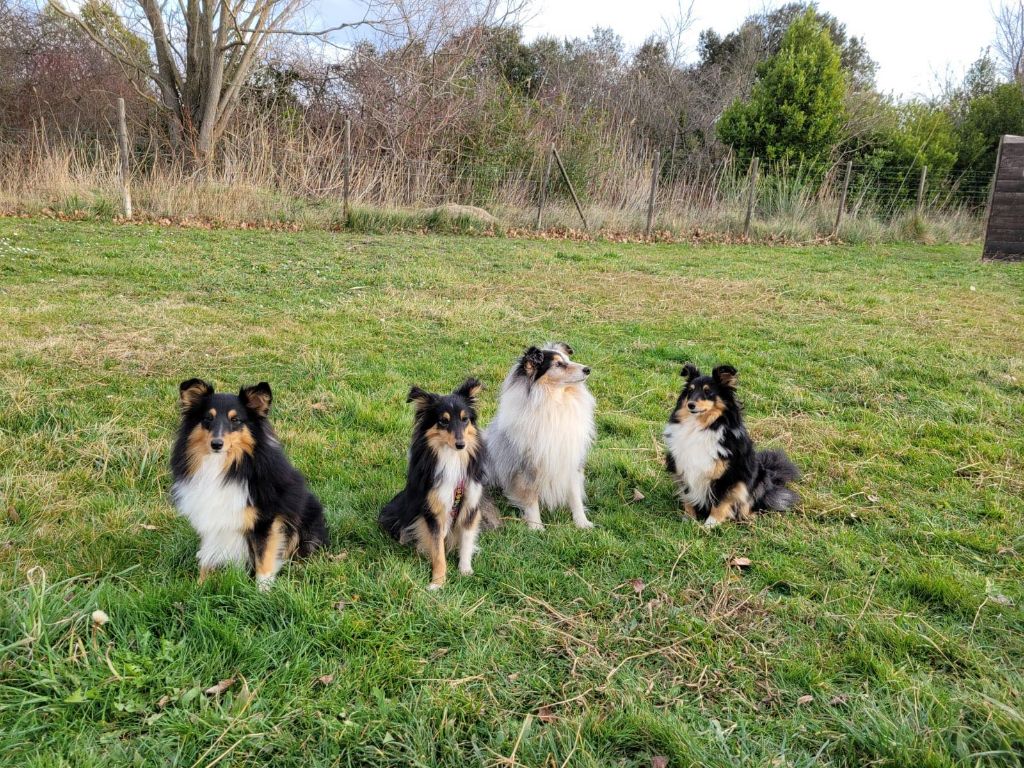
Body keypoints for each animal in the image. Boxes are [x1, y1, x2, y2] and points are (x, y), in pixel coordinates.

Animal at [169, 378, 325, 589]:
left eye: (236, 420)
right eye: (208, 418)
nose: (216, 444)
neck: (223, 465)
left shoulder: (266, 519)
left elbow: (264, 557)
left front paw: (262, 591)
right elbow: (209, 554)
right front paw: (200, 585)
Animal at [380, 378, 499, 589]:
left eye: (465, 419)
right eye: (443, 421)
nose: (461, 445)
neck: (452, 457)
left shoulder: (470, 505)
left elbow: (466, 541)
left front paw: (465, 571)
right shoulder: (434, 511)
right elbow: (438, 550)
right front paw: (437, 582)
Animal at [485, 346, 598, 532]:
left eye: (568, 359)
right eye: (558, 364)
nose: (587, 370)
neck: (554, 402)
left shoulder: (570, 459)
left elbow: (575, 494)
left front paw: (582, 522)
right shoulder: (527, 465)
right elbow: (531, 498)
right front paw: (536, 527)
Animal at [663, 366, 798, 528]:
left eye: (708, 392)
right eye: (690, 390)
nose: (690, 404)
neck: (703, 426)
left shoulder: (729, 475)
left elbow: (720, 502)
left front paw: (710, 525)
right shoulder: (684, 468)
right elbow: (688, 495)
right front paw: (689, 518)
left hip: (757, 480)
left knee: (749, 505)